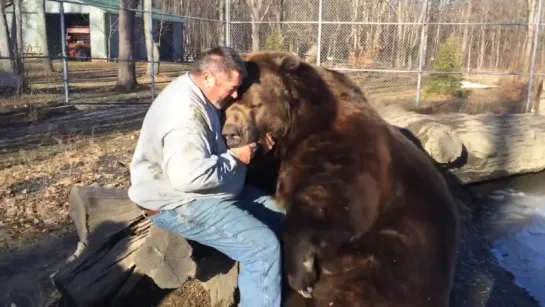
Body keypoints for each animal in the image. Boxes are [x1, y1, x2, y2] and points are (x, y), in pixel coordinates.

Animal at [222, 51, 460, 306]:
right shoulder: (274, 163)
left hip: (390, 263)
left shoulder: (345, 149)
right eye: (227, 104)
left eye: (255, 104)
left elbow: (334, 201)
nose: (231, 133)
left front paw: (301, 274)